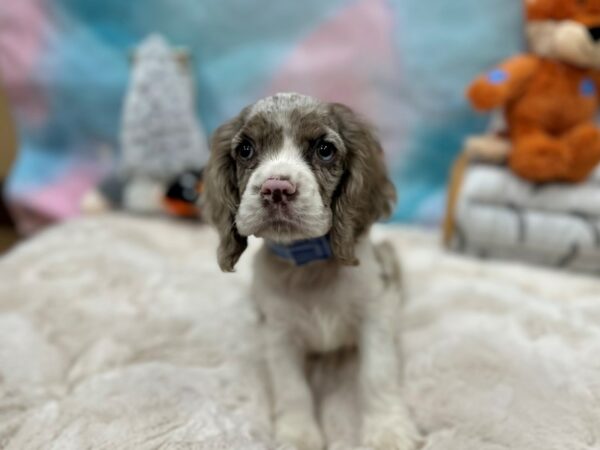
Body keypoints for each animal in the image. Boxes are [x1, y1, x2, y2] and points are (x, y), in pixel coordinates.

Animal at [204, 93, 420, 448]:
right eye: (246, 149)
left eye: (324, 149)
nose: (276, 189)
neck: (309, 266)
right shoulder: (279, 333)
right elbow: (292, 388)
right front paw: (298, 435)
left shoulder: (374, 317)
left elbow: (377, 375)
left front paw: (387, 430)